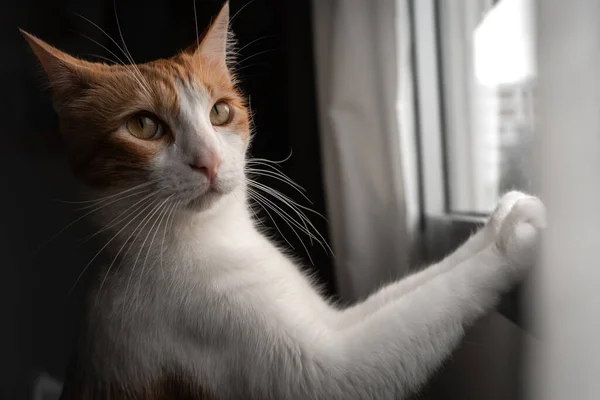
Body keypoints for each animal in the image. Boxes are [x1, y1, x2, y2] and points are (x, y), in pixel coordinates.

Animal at [22, 3, 544, 400]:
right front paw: (513, 243)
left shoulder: (332, 321)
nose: (208, 161)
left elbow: (416, 287)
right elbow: (433, 303)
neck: (214, 239)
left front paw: (498, 221)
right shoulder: (319, 371)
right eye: (144, 126)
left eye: (221, 112)